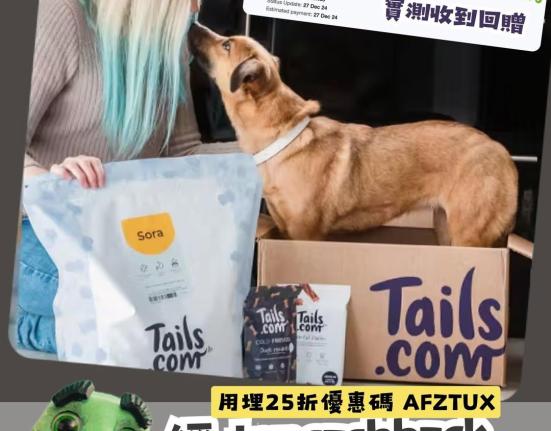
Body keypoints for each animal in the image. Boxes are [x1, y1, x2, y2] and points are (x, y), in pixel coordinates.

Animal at [188, 23, 518, 247]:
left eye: (226, 45)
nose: (194, 24)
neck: (281, 132)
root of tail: (501, 150)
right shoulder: (286, 230)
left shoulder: (306, 236)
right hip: (447, 229)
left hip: (469, 235)